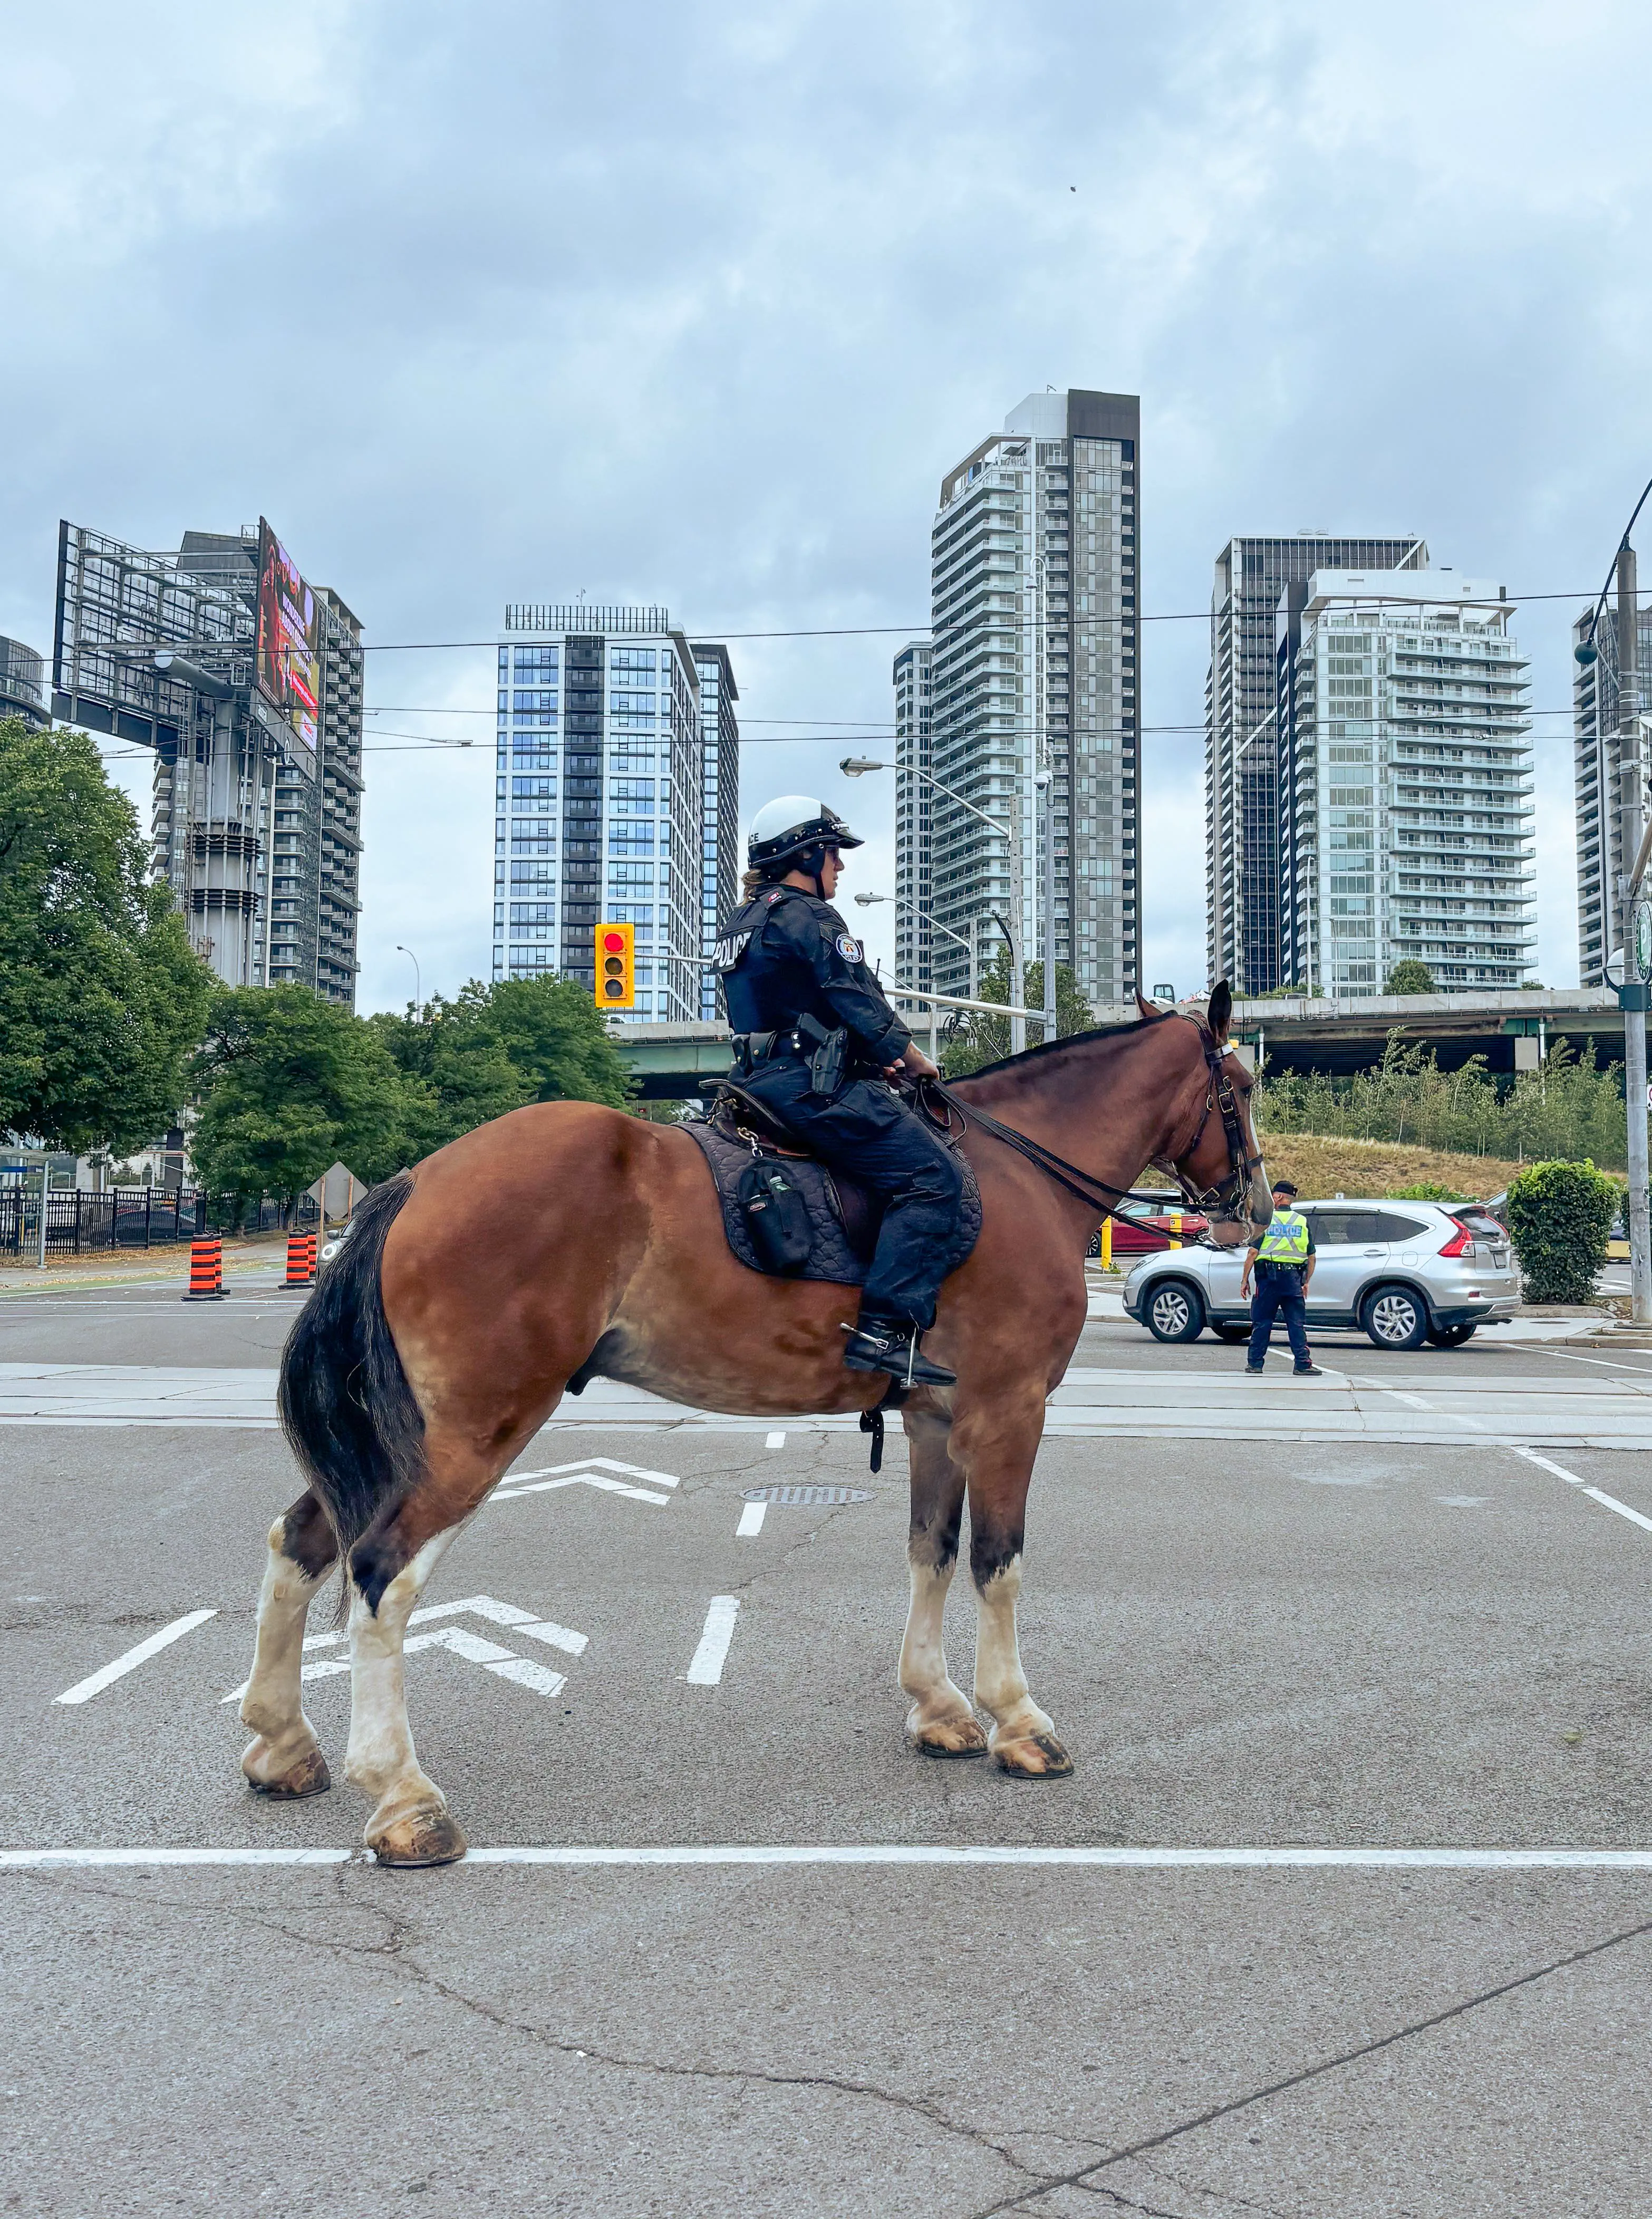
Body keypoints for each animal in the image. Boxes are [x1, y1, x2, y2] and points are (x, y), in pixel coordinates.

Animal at [240, 985, 1270, 1865]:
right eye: (1243, 1086)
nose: (1258, 1207)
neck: (1017, 1169)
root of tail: (419, 1177)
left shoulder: (937, 1422)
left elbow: (930, 1551)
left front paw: (936, 1705)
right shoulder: (1007, 1412)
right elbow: (997, 1564)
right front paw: (1016, 1721)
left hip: (405, 1439)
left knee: (301, 1542)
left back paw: (282, 1744)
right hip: (473, 1430)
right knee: (383, 1574)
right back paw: (404, 1800)